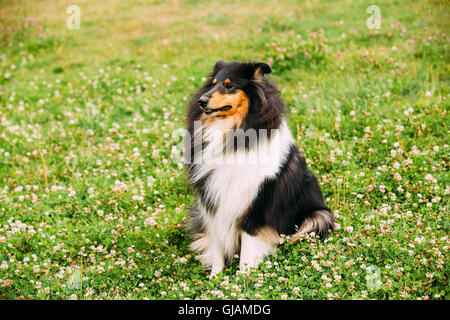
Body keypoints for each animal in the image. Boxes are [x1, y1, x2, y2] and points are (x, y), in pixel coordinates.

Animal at [184, 61, 334, 276]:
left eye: (229, 85)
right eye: (212, 84)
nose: (202, 101)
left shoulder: (255, 203)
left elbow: (248, 247)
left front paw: (244, 277)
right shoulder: (214, 202)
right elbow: (218, 245)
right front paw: (215, 276)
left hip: (319, 217)